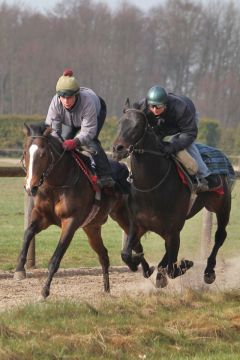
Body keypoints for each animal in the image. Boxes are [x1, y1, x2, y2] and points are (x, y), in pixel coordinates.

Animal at [14, 123, 154, 298]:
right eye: (25, 152)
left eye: (43, 153)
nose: (30, 186)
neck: (57, 185)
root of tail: (127, 171)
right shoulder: (41, 216)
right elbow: (28, 233)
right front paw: (19, 268)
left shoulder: (70, 221)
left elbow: (56, 258)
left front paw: (44, 291)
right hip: (92, 228)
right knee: (104, 255)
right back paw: (107, 289)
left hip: (124, 217)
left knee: (136, 244)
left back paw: (147, 270)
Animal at [112, 100, 234, 288]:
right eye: (120, 123)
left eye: (137, 125)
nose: (118, 149)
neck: (151, 187)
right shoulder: (137, 224)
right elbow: (126, 253)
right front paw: (140, 264)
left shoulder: (173, 230)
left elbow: (171, 268)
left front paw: (185, 264)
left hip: (222, 207)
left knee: (220, 236)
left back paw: (209, 271)